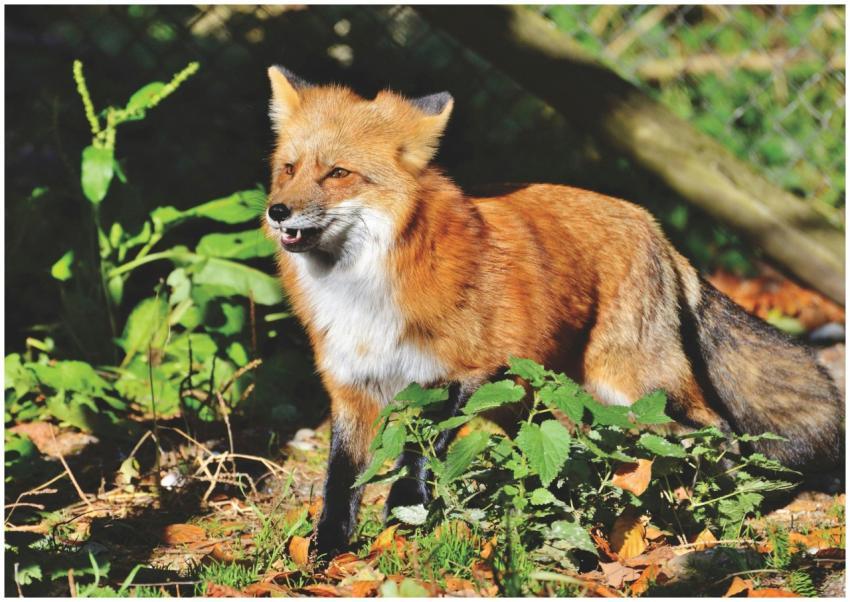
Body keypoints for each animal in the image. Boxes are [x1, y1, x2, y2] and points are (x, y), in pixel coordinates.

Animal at [262, 66, 844, 559]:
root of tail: (653, 224)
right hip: (535, 398)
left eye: (339, 173)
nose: (276, 211)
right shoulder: (352, 387)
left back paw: (716, 505)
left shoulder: (461, 373)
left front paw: (404, 524)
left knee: (715, 428)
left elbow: (416, 460)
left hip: (633, 383)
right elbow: (340, 483)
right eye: (289, 168)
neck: (363, 290)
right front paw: (325, 553)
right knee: (587, 448)